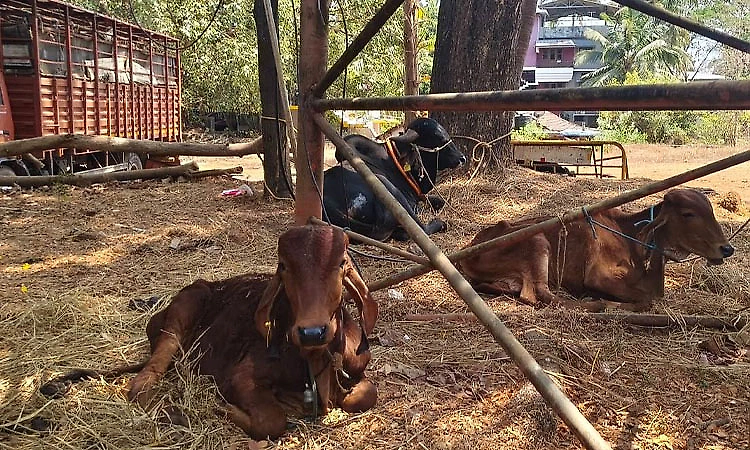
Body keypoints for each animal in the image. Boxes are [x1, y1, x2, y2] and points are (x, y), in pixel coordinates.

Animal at [41, 225, 379, 440]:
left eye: (341, 263)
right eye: (284, 266)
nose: (311, 331)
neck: (312, 358)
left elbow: (365, 396)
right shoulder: (239, 377)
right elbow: (272, 421)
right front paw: (222, 409)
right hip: (179, 317)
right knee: (143, 382)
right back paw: (175, 412)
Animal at [323, 118, 467, 241]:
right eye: (438, 137)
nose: (462, 158)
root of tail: (328, 203)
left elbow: (440, 201)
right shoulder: (412, 203)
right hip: (389, 190)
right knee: (421, 229)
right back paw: (439, 223)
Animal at [458, 189, 735, 312]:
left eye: (711, 211)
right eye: (688, 214)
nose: (726, 248)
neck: (631, 237)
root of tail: (471, 247)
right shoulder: (598, 276)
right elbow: (646, 300)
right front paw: (605, 301)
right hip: (537, 241)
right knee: (538, 295)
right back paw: (594, 302)